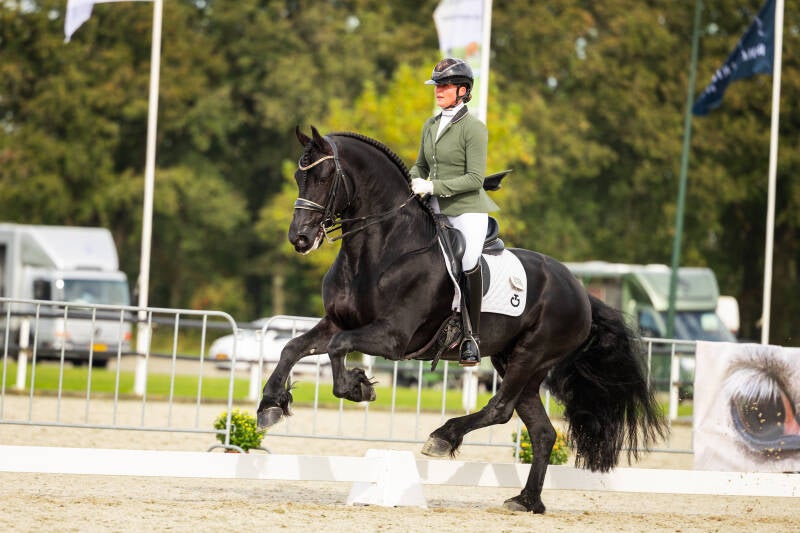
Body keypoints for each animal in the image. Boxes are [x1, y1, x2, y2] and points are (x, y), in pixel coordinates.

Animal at [257, 126, 667, 513]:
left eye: (325, 176)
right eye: (298, 176)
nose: (300, 238)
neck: (380, 250)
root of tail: (581, 291)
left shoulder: (393, 337)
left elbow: (338, 348)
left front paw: (358, 387)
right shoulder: (337, 321)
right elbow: (294, 346)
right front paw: (271, 405)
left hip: (532, 355)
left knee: (500, 409)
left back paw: (443, 437)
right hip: (515, 362)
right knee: (542, 431)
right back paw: (527, 501)